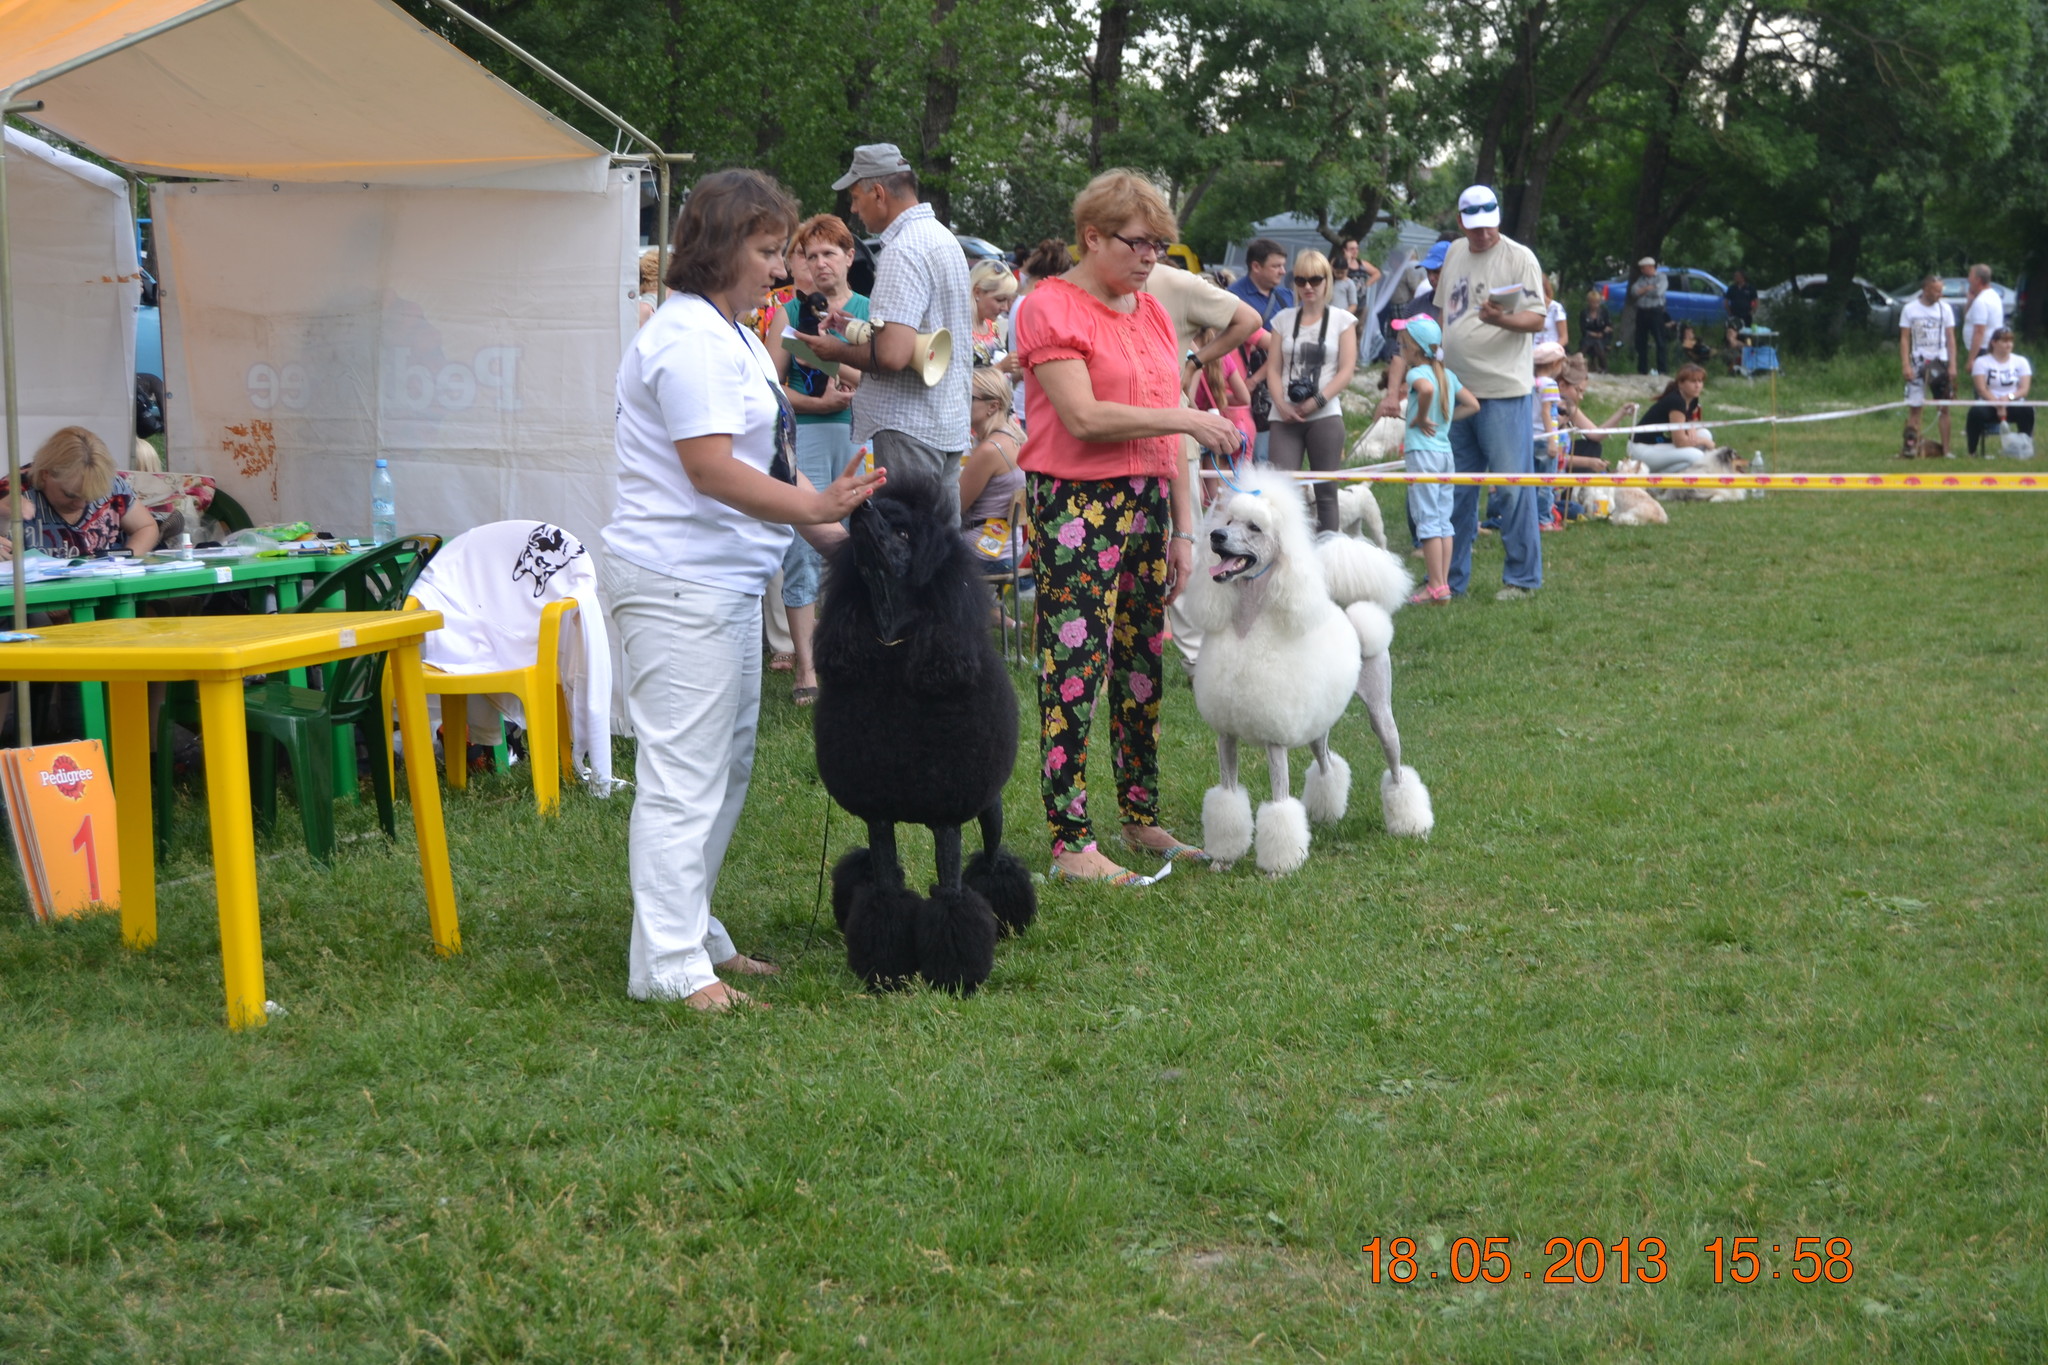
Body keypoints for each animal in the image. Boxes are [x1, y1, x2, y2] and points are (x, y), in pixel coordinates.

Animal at [1179, 470, 1433, 875]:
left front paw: (1279, 867)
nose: (1216, 536)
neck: (1248, 628)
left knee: (1396, 766)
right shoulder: (1226, 736)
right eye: (1228, 521)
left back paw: (1411, 824)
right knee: (1327, 763)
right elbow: (1227, 797)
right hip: (1318, 724)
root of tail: (1354, 617)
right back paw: (1324, 814)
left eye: (1254, 527)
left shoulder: (1274, 741)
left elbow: (1280, 806)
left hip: (1381, 711)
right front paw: (1222, 859)